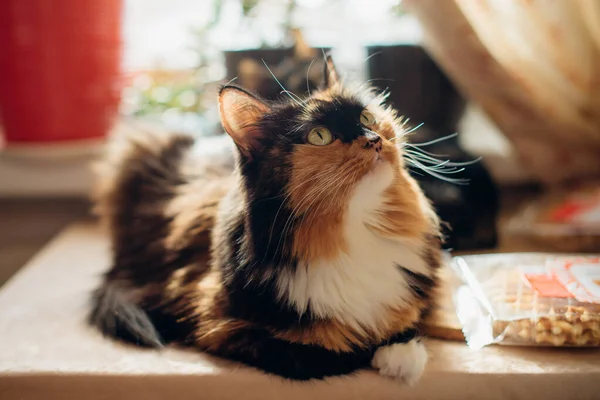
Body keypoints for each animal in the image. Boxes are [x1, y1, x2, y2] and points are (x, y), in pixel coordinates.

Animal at [91, 54, 442, 382]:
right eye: (319, 136)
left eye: (366, 116)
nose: (373, 139)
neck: (351, 230)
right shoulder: (216, 322)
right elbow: (329, 351)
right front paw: (385, 352)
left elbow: (410, 316)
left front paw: (402, 351)